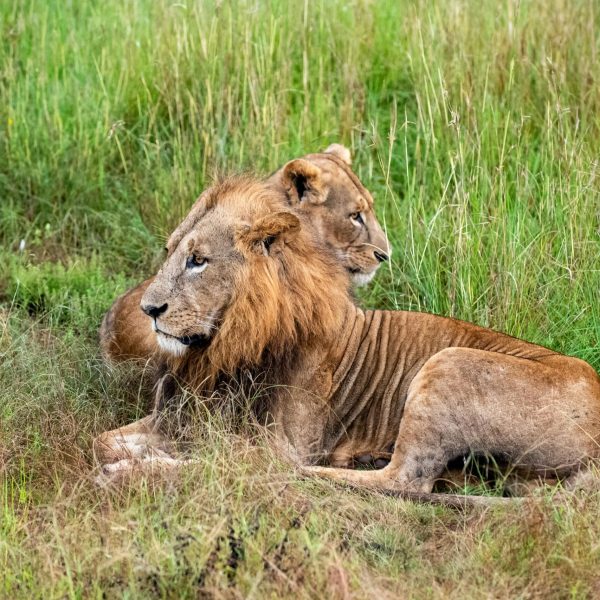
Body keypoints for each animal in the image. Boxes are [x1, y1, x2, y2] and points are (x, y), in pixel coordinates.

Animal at [94, 176, 600, 504]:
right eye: (170, 252)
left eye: (198, 260)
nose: (148, 310)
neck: (220, 349)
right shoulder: (176, 420)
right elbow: (102, 440)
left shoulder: (279, 443)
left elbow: (221, 465)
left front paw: (134, 472)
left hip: (450, 361)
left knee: (400, 482)